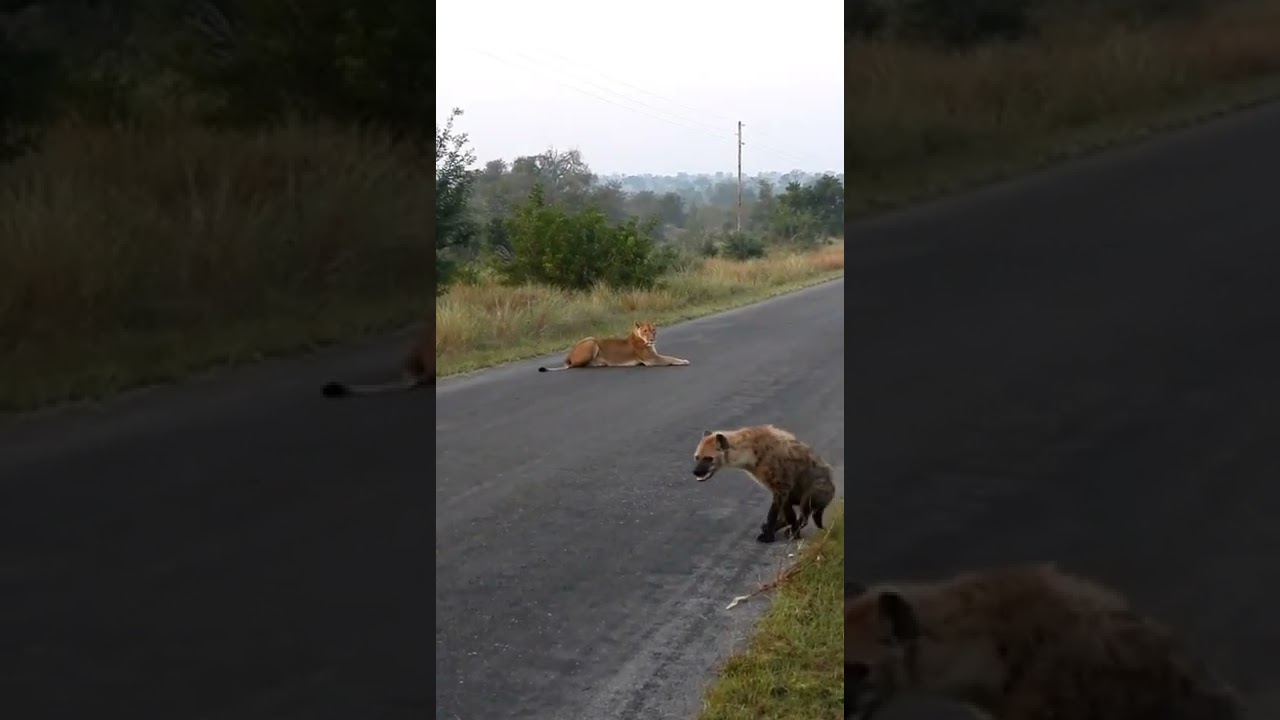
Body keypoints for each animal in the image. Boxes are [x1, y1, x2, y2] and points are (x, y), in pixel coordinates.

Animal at [537, 320, 690, 372]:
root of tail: (568, 356)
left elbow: (669, 357)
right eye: (645, 331)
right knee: (575, 365)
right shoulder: (652, 360)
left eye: (654, 330)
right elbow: (670, 358)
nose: (652, 339)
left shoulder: (653, 358)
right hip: (591, 341)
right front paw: (683, 361)